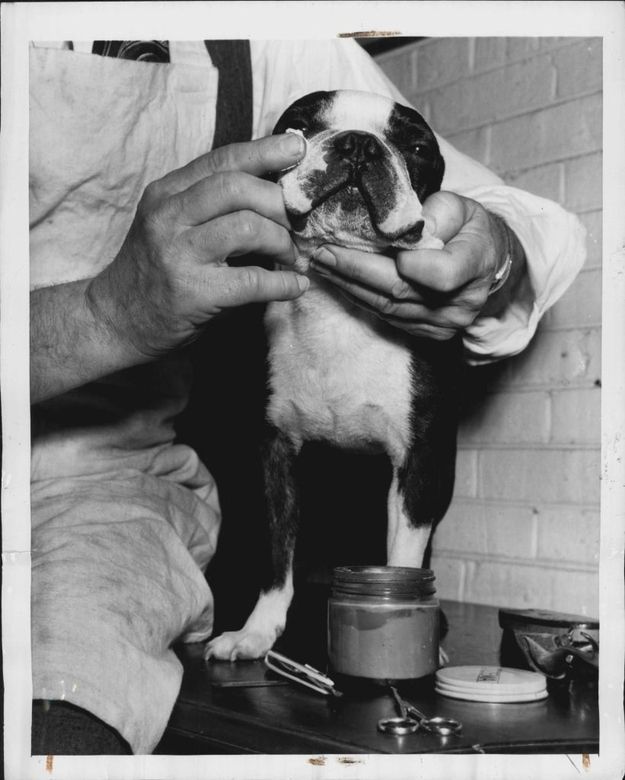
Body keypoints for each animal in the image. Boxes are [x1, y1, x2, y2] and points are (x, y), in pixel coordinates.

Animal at [207, 93, 460, 664]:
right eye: (299, 127)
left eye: (416, 148)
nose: (359, 145)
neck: (334, 308)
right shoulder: (272, 453)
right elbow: (276, 553)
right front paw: (258, 630)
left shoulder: (418, 466)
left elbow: (404, 558)